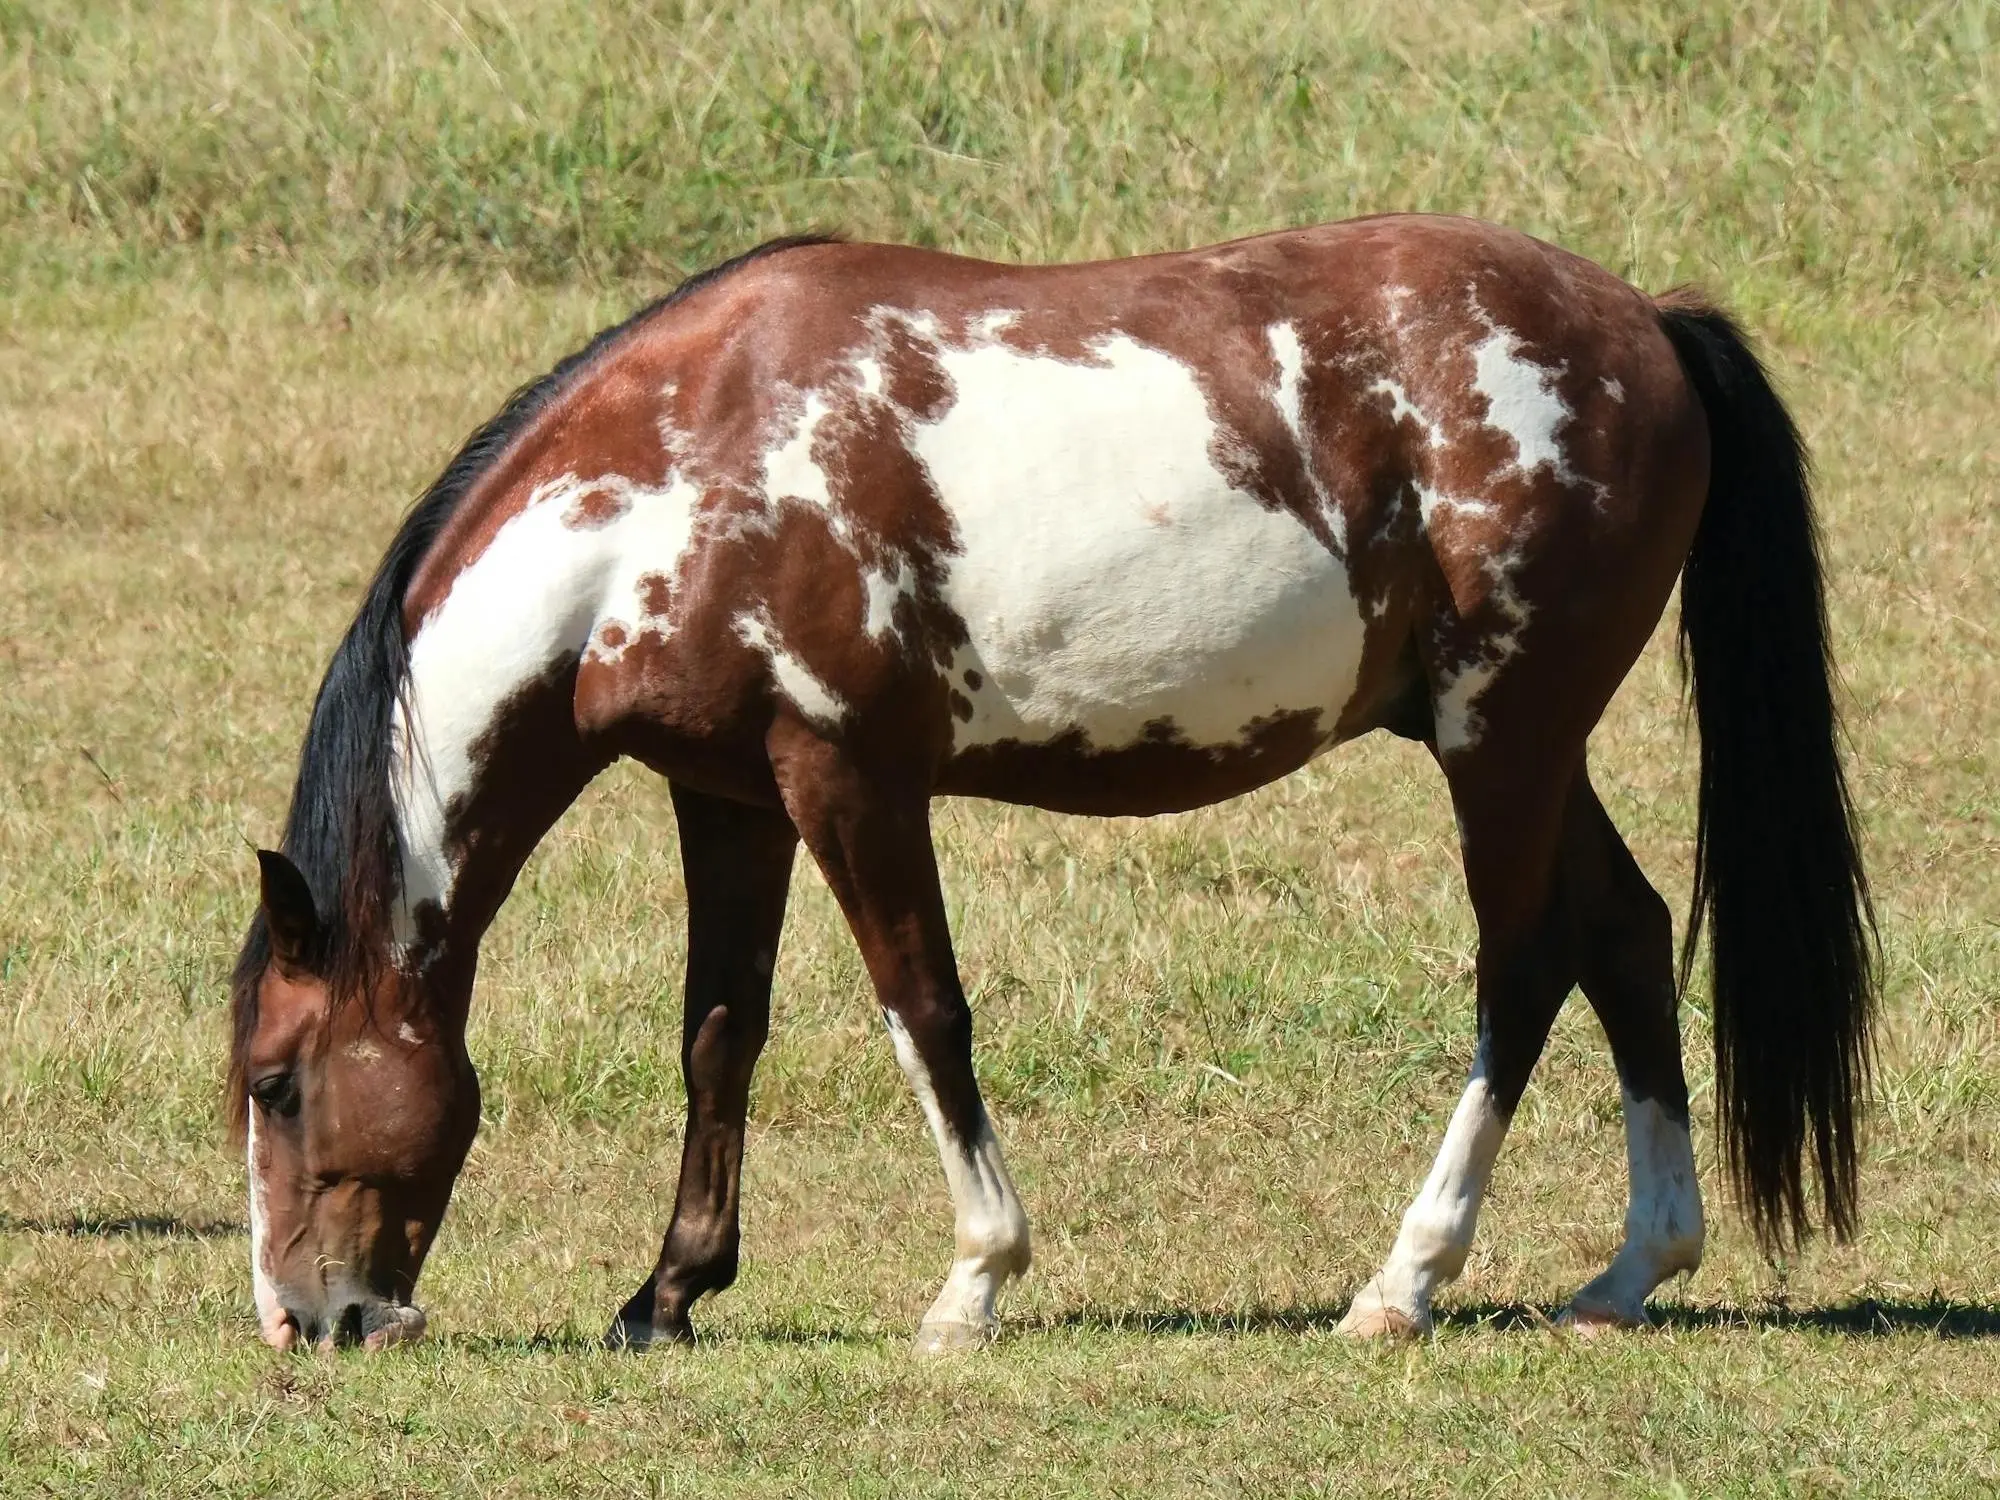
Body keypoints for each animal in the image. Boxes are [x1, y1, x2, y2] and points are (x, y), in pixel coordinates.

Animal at [230, 217, 1872, 1360]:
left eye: (275, 1082)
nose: (307, 1321)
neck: (673, 488)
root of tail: (1646, 321)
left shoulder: (850, 782)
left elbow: (926, 1014)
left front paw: (974, 1283)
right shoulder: (733, 798)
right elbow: (718, 1036)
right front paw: (670, 1292)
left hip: (1501, 740)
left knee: (1520, 969)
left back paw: (1403, 1281)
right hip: (1514, 741)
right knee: (1629, 935)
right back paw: (1633, 1268)